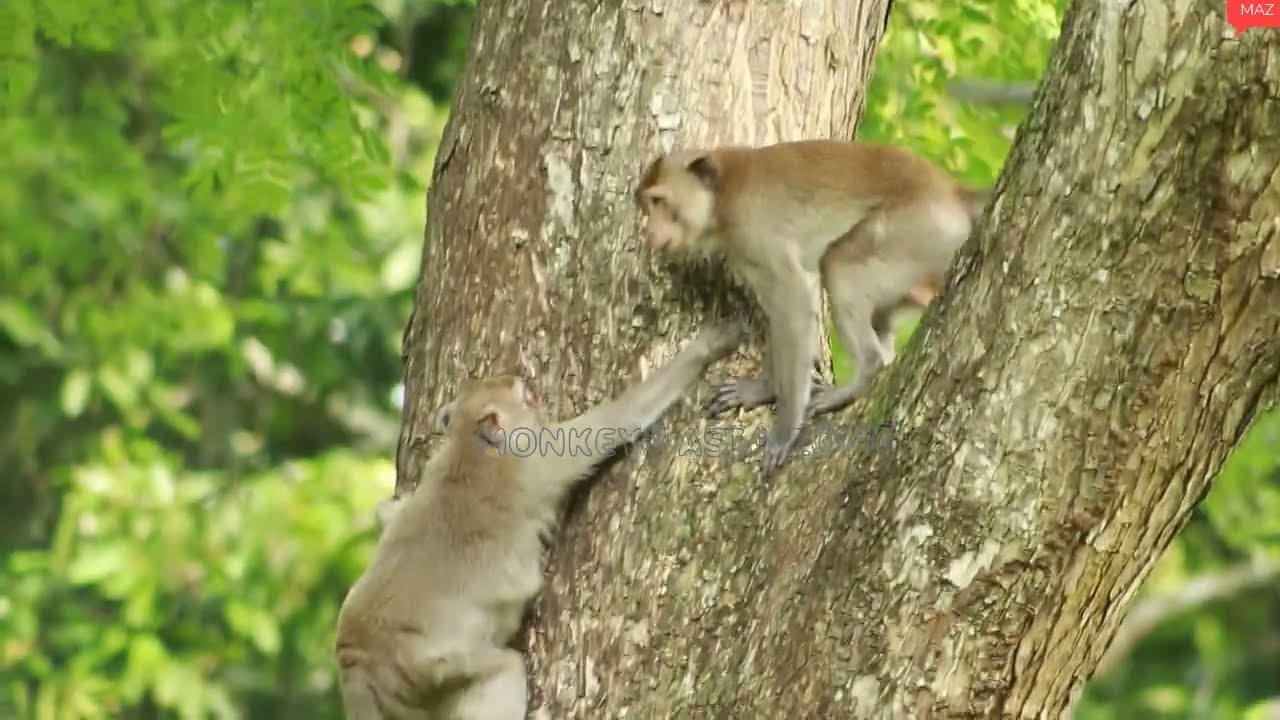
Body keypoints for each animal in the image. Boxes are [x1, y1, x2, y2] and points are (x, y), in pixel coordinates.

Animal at [333, 322, 744, 719]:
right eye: (516, 392)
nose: (519, 377)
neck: (470, 446)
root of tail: (360, 661)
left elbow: (394, 510)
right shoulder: (540, 456)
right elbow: (617, 419)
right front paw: (706, 346)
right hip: (435, 670)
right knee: (505, 671)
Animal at [634, 139, 989, 478]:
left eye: (659, 201)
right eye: (648, 204)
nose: (648, 231)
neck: (723, 193)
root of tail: (951, 189)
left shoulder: (752, 228)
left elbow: (793, 302)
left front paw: (784, 429)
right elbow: (776, 311)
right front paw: (761, 390)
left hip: (915, 231)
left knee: (837, 264)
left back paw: (863, 374)